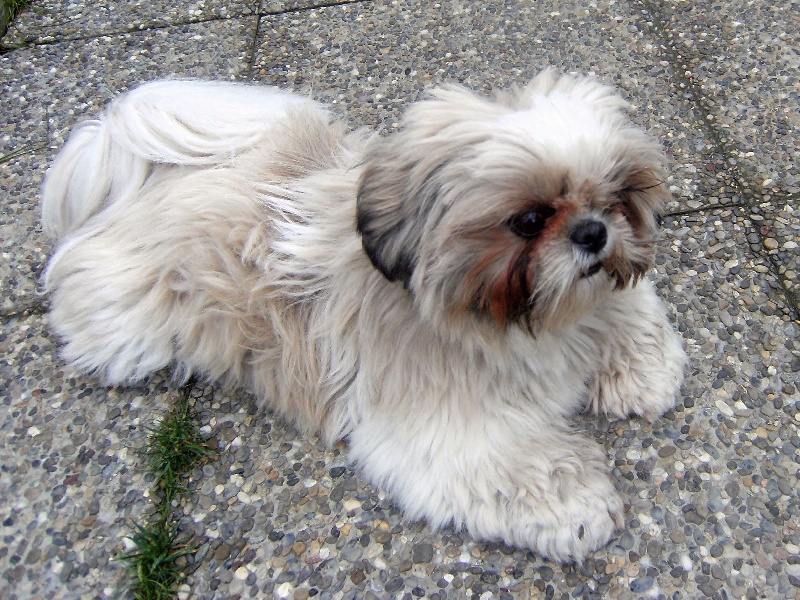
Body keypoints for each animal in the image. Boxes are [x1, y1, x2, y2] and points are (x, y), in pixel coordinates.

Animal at [41, 70, 686, 562]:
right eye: (529, 221)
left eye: (616, 197)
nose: (593, 232)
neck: (520, 323)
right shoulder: (458, 432)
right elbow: (529, 468)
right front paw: (580, 506)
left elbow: (632, 316)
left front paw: (639, 369)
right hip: (131, 324)